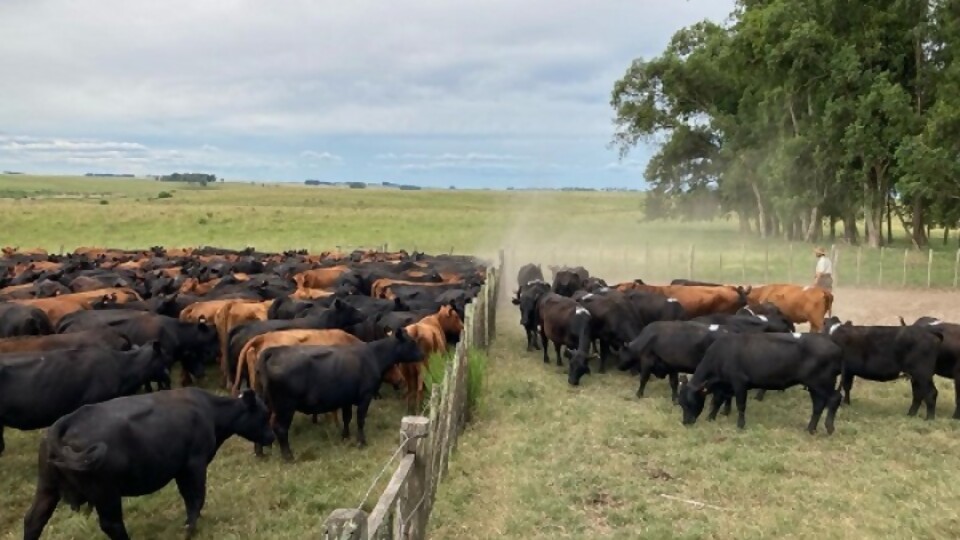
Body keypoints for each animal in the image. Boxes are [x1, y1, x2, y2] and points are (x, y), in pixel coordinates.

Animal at [22, 388, 276, 540]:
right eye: (264, 415)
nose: (271, 436)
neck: (210, 412)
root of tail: (66, 421)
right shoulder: (193, 464)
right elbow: (195, 498)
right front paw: (190, 529)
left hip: (47, 488)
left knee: (33, 520)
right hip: (106, 492)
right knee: (111, 524)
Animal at [256, 326, 422, 458]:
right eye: (412, 342)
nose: (423, 354)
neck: (372, 355)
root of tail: (274, 351)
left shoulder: (346, 399)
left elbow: (347, 418)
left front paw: (345, 437)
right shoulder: (365, 396)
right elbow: (360, 420)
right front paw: (361, 442)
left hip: (266, 403)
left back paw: (260, 452)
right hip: (285, 407)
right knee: (280, 428)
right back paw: (288, 456)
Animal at [676, 334, 840, 434]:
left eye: (690, 402)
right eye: (681, 403)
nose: (686, 422)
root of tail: (834, 346)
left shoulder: (739, 383)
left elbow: (741, 405)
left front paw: (740, 425)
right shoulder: (723, 385)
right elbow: (717, 402)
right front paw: (710, 418)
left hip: (822, 384)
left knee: (834, 399)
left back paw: (829, 427)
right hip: (814, 387)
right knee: (818, 405)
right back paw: (810, 429)